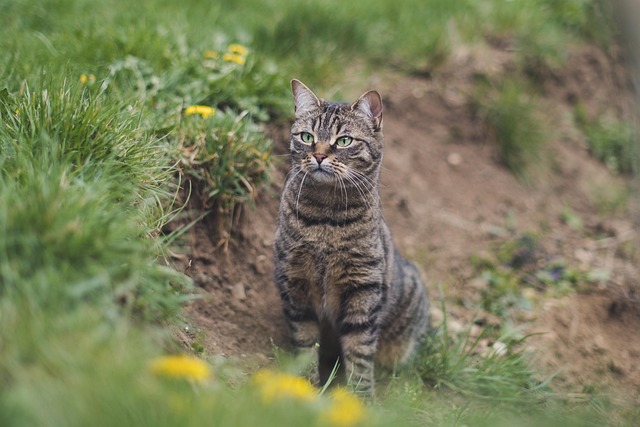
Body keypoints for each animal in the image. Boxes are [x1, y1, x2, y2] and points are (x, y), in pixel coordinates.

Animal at [272, 79, 430, 398]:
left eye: (344, 141)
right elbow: (305, 342)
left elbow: (359, 351)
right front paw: (304, 387)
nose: (319, 155)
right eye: (306, 137)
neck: (325, 218)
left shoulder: (363, 288)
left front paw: (361, 398)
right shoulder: (295, 281)